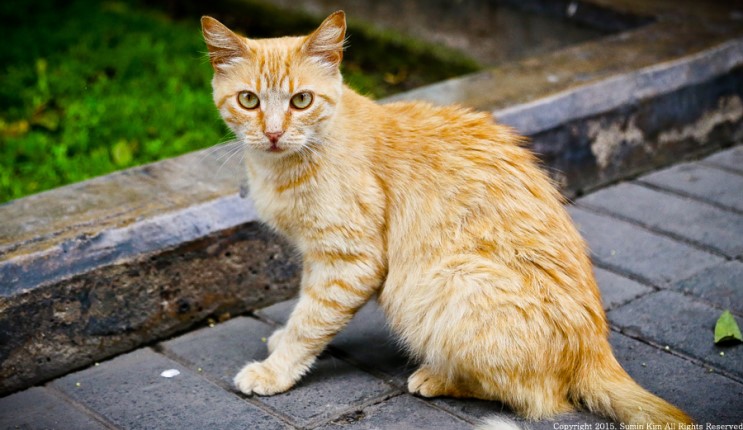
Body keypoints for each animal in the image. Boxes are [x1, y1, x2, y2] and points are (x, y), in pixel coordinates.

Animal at [202, 11, 692, 424]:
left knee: (538, 397)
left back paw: (437, 377)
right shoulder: (315, 253)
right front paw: (281, 339)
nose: (273, 133)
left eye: (301, 100)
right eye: (249, 100)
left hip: (443, 281)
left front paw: (275, 369)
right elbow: (304, 303)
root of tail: (595, 350)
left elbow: (311, 320)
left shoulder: (350, 259)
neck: (285, 165)